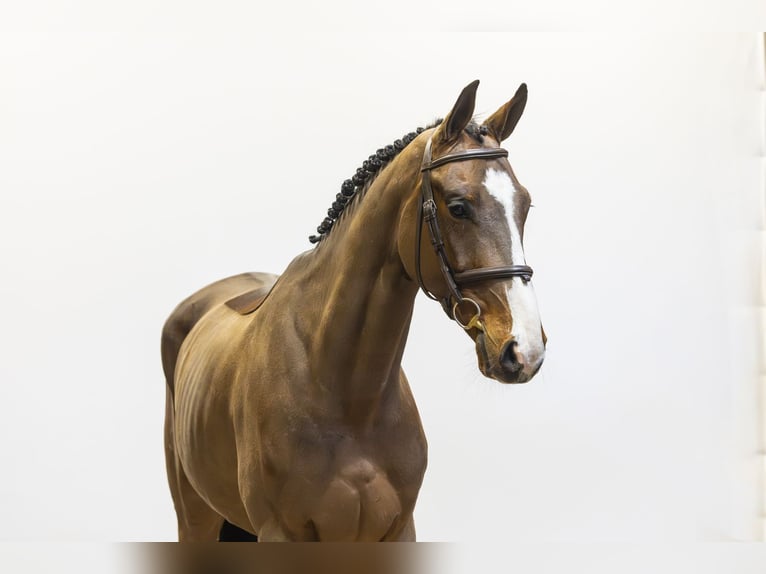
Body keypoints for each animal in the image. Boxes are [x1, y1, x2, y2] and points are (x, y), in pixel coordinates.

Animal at [161, 80, 546, 542]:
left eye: (525, 206)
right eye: (458, 206)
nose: (524, 349)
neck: (346, 394)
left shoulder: (397, 531)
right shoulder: (281, 532)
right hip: (195, 516)